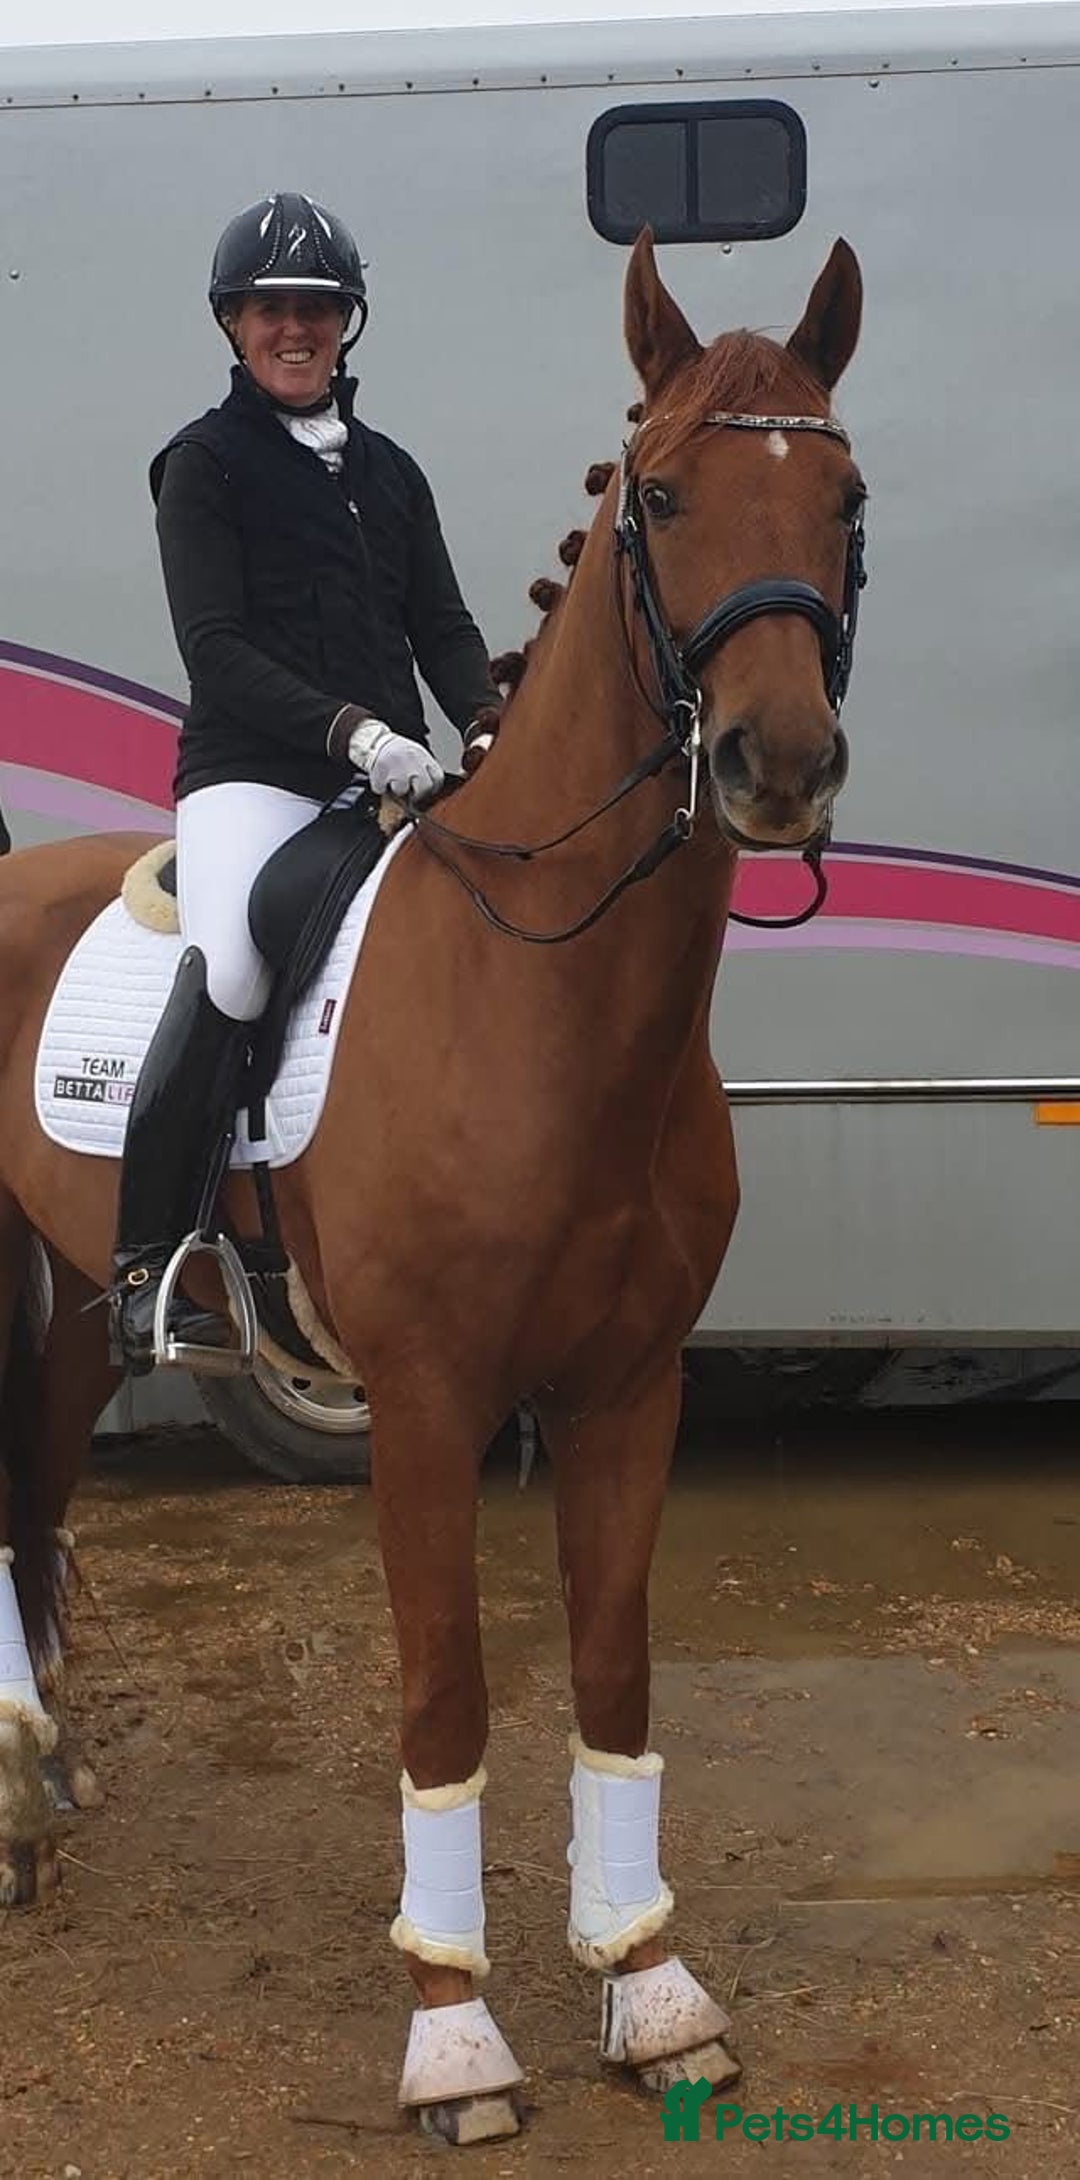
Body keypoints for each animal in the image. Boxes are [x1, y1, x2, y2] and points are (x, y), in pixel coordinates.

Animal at [0, 230, 864, 2141]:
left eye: (845, 496)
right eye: (666, 496)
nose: (776, 766)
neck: (545, 1003)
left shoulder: (629, 1387)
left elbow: (611, 1673)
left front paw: (650, 1986)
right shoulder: (423, 1402)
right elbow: (449, 1697)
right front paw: (454, 2030)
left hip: (83, 1303)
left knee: (30, 1500)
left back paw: (35, 1789)